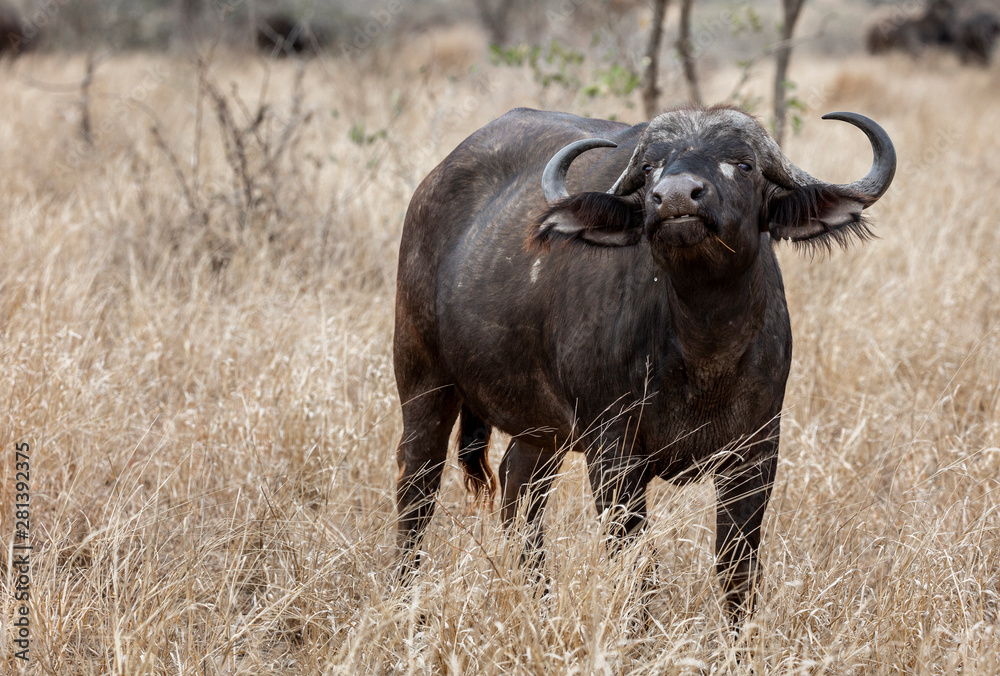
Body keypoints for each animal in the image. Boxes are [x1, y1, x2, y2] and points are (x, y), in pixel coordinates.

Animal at [392, 103, 900, 624]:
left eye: (744, 164)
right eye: (652, 166)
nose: (674, 196)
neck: (704, 353)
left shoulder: (756, 453)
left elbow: (738, 572)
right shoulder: (614, 456)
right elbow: (639, 568)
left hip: (542, 430)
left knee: (519, 488)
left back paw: (541, 601)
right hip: (422, 380)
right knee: (417, 489)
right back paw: (405, 599)